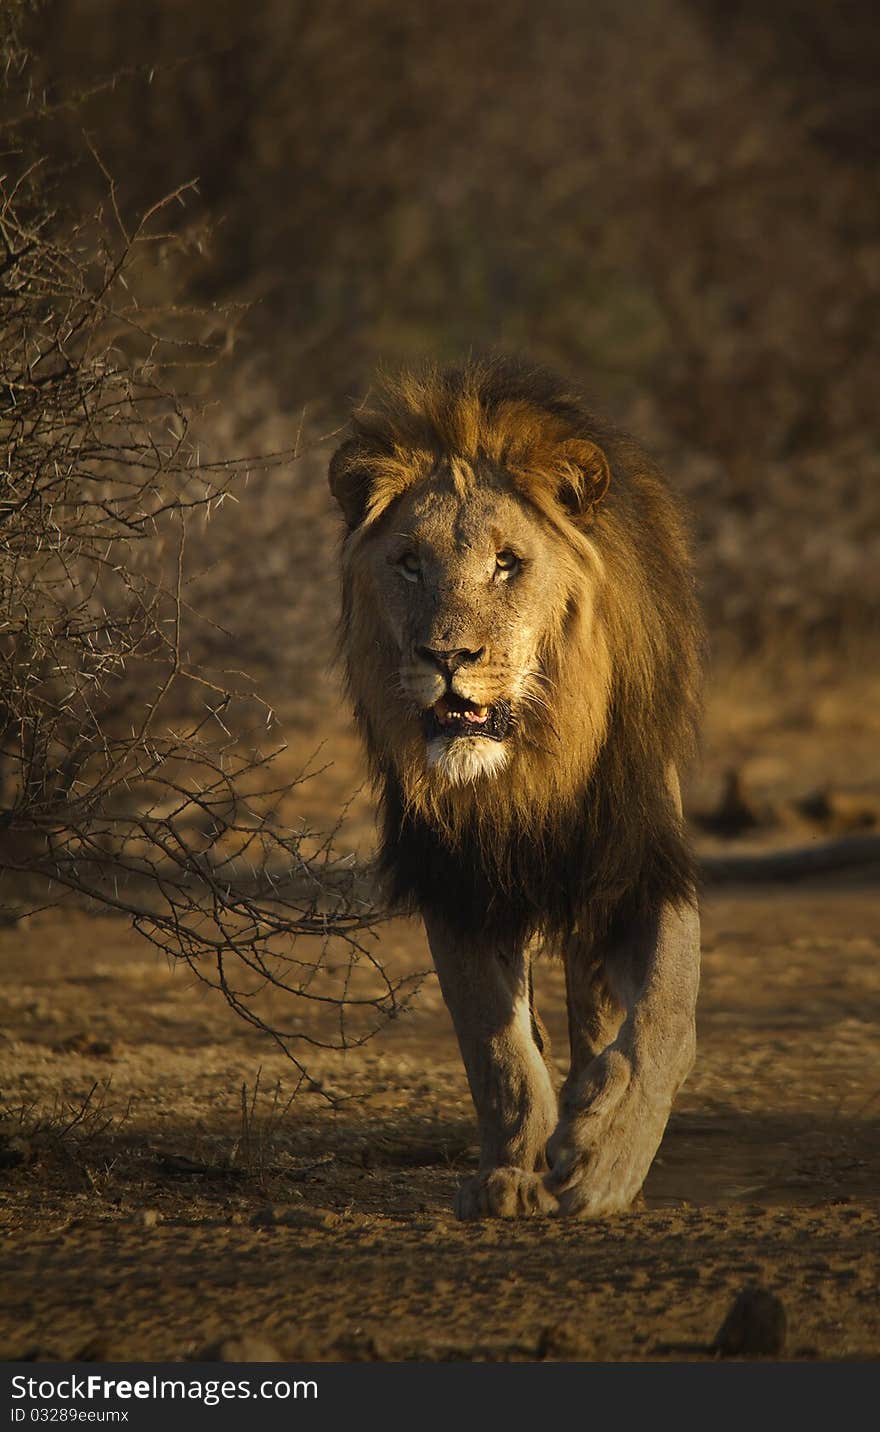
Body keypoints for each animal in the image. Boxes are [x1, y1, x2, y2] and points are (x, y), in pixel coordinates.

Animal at [329, 358, 701, 1220]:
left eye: (507, 563)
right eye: (408, 564)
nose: (446, 657)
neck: (526, 774)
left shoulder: (641, 865)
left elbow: (665, 1014)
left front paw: (606, 1158)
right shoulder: (458, 882)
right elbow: (494, 1043)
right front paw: (510, 1171)